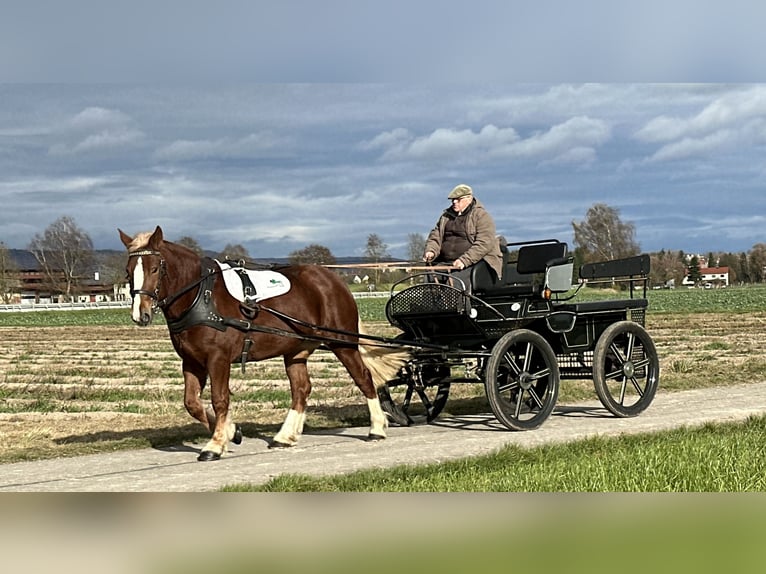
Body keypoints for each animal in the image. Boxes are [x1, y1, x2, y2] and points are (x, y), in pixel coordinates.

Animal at [118, 227, 408, 462]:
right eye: (129, 272)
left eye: (155, 268)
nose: (140, 314)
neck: (201, 296)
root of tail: (332, 279)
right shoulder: (191, 361)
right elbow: (192, 403)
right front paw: (232, 432)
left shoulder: (218, 359)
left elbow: (219, 399)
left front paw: (215, 444)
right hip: (296, 350)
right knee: (301, 390)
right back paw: (285, 436)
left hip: (343, 344)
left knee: (364, 379)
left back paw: (377, 428)